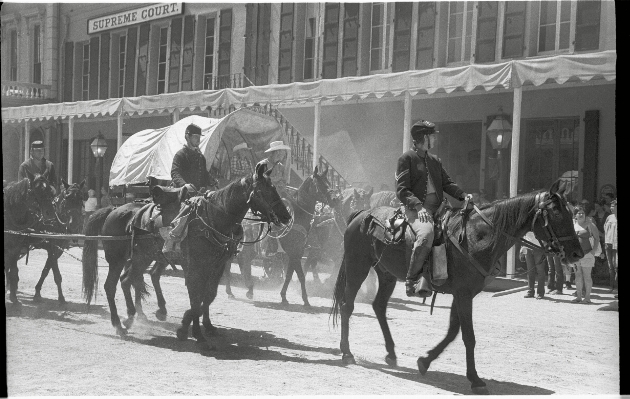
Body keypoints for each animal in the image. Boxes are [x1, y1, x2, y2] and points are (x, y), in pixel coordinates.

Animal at [3, 173, 57, 306]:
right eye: (36, 190)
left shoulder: (15, 248)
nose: (51, 214)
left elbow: (13, 271)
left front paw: (14, 298)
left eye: (49, 190)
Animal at [278, 166, 338, 306]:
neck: (297, 216)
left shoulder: (297, 253)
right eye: (321, 185)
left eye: (329, 183)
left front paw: (284, 296)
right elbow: (300, 275)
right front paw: (305, 300)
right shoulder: (294, 253)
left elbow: (290, 274)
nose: (335, 200)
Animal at [334, 180, 584, 396]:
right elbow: (468, 337)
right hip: (357, 268)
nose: (577, 253)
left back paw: (391, 354)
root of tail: (361, 215)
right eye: (557, 214)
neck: (478, 236)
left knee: (378, 307)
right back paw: (347, 353)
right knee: (347, 305)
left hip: (386, 275)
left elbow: (453, 332)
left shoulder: (463, 294)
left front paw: (425, 361)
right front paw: (475, 380)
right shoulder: (463, 295)